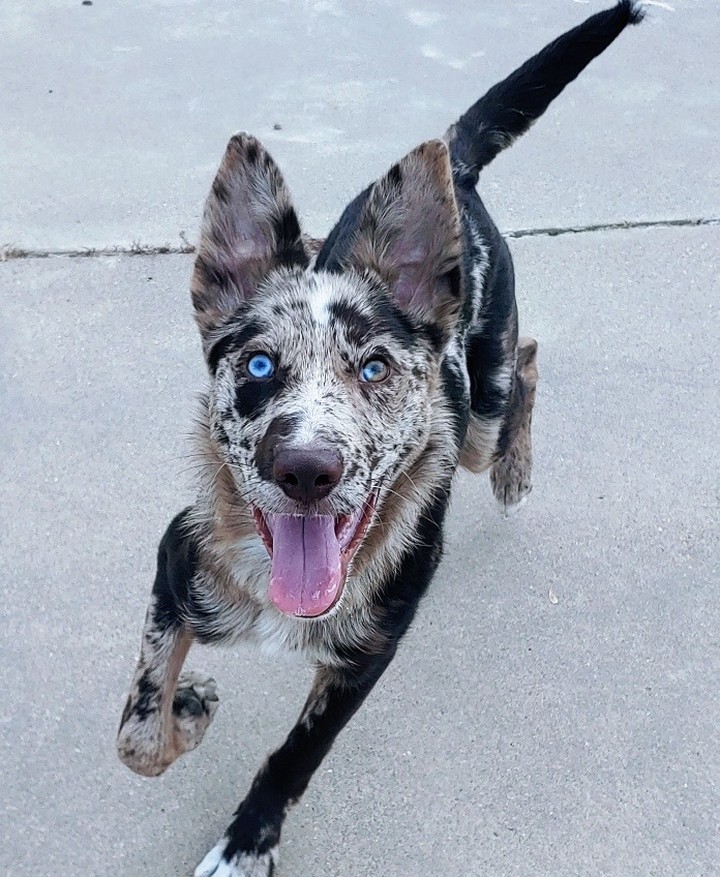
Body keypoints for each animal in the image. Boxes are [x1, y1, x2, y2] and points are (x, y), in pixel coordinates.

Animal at [119, 3, 648, 872]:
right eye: (258, 363)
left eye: (374, 367)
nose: (306, 468)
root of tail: (455, 163)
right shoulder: (175, 563)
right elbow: (137, 731)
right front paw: (186, 708)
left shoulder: (371, 649)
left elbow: (296, 754)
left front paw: (245, 840)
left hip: (484, 399)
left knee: (526, 365)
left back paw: (514, 471)